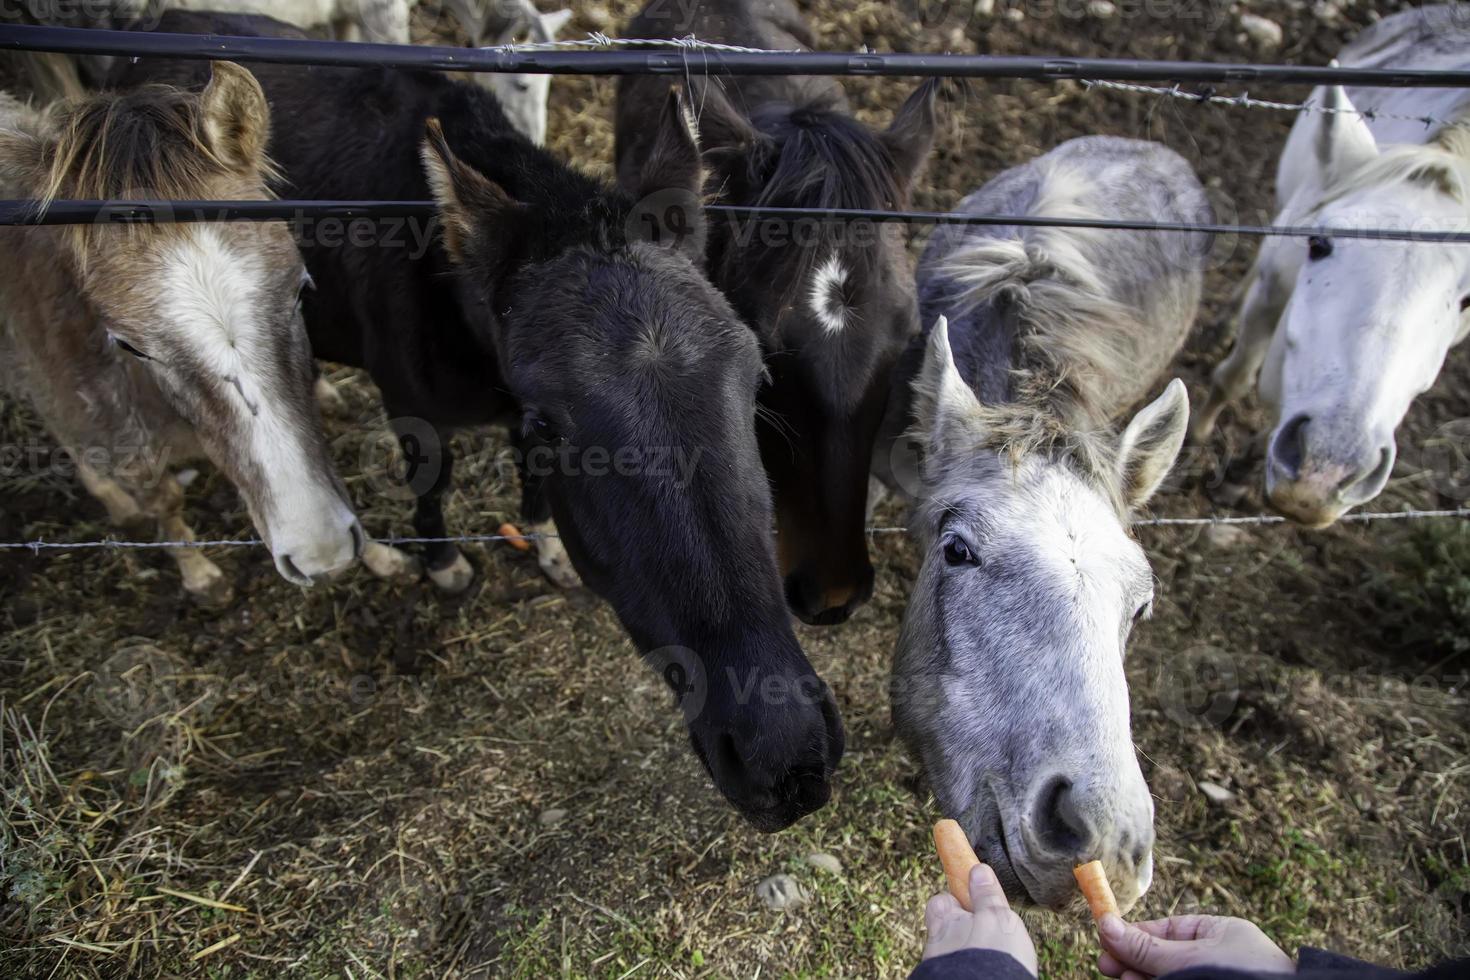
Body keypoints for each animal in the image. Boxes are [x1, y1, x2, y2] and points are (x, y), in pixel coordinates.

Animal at [0, 63, 366, 605]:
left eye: (301, 290)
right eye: (129, 344)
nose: (320, 552)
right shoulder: (121, 442)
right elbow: (163, 501)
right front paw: (200, 575)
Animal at [123, 11, 852, 834]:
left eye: (757, 380)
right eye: (549, 424)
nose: (783, 755)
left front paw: (546, 547)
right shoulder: (416, 406)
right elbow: (432, 481)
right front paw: (443, 564)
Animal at [1187, 5, 1470, 528]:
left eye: (1467, 300)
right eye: (1318, 245)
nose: (1329, 464)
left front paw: (1240, 475)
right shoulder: (1276, 285)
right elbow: (1236, 376)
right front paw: (1196, 437)